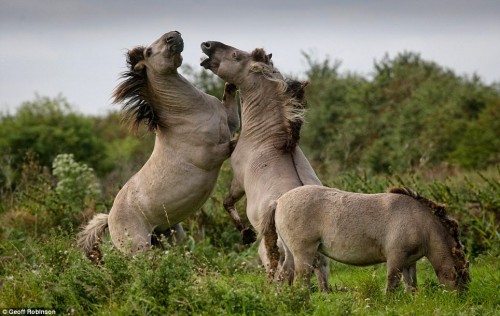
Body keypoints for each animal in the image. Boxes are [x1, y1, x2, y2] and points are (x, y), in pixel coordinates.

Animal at [77, 31, 240, 260]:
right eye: (148, 51)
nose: (173, 35)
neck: (190, 112)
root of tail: (109, 219)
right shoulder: (213, 154)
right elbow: (236, 142)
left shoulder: (229, 123)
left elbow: (231, 105)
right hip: (140, 250)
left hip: (171, 235)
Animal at [199, 41, 332, 292]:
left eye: (235, 55)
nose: (207, 45)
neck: (268, 138)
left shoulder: (238, 181)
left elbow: (227, 202)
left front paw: (246, 234)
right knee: (320, 273)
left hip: (281, 246)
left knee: (280, 268)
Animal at [264, 186, 470, 292]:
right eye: (460, 277)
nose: (461, 300)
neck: (418, 219)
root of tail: (279, 201)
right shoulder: (396, 258)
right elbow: (392, 284)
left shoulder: (409, 262)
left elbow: (411, 285)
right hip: (304, 254)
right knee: (302, 281)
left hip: (291, 255)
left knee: (283, 277)